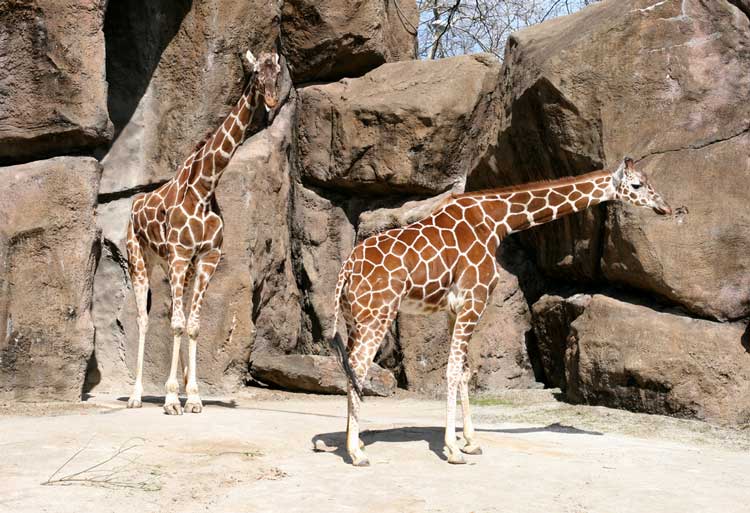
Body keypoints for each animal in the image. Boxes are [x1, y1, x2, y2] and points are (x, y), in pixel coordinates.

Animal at [125, 50, 282, 415]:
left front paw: (192, 396)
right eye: (256, 73)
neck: (205, 187)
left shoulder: (206, 257)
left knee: (171, 313)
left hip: (172, 266)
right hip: (140, 259)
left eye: (278, 73)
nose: (271, 100)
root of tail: (133, 207)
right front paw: (171, 399)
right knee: (143, 318)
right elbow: (177, 323)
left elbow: (193, 325)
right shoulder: (181, 255)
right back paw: (136, 395)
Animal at [331, 157, 672, 465]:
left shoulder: (455, 308)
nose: (665, 207)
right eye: (637, 184)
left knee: (348, 365)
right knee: (359, 366)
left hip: (354, 317)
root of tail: (346, 269)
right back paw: (356, 453)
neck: (497, 221)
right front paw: (453, 450)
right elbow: (453, 370)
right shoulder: (474, 299)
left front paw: (470, 442)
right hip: (378, 313)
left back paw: (354, 441)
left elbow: (464, 370)